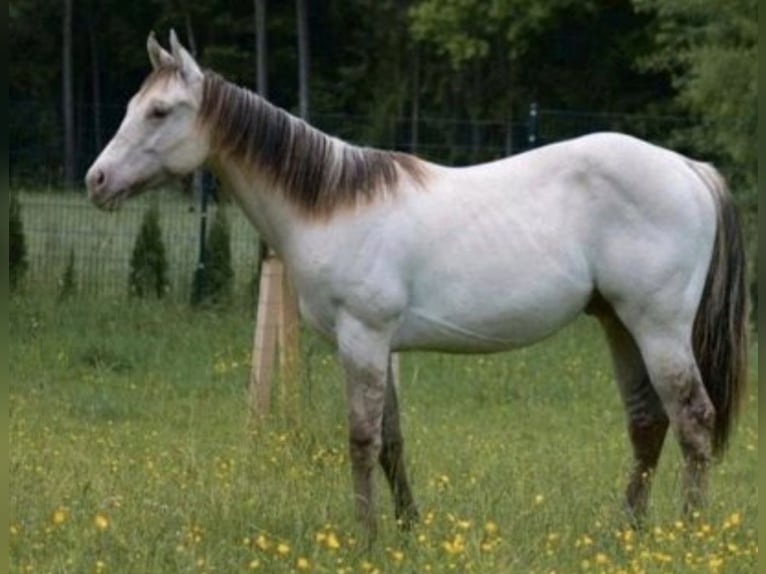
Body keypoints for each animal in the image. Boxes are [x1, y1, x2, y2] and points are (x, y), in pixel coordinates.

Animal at [85, 31, 748, 538]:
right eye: (133, 104)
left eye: (160, 111)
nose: (97, 180)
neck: (332, 205)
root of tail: (689, 168)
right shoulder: (381, 346)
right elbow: (392, 441)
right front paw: (407, 529)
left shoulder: (362, 338)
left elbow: (360, 439)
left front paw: (366, 536)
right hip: (619, 324)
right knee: (647, 425)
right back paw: (627, 532)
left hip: (658, 328)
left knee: (693, 420)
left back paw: (688, 535)